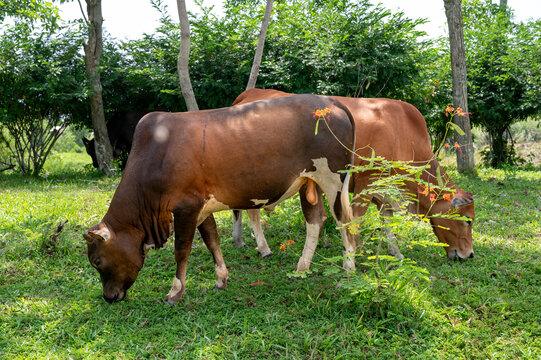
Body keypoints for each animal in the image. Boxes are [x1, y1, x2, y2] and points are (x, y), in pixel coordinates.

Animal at [82, 95, 356, 304]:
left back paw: (348, 270)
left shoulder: (186, 207)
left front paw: (175, 292)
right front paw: (221, 279)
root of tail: (330, 101)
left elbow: (182, 250)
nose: (109, 297)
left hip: (333, 179)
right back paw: (302, 268)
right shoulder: (202, 208)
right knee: (315, 220)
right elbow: (212, 242)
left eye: (97, 261)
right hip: (309, 182)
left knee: (344, 222)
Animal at [231, 88, 472, 266]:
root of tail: (248, 93)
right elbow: (355, 221)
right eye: (468, 220)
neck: (402, 133)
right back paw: (263, 247)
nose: (469, 255)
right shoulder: (366, 182)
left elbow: (387, 220)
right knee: (252, 211)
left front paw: (395, 252)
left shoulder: (382, 189)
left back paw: (239, 239)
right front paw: (355, 255)